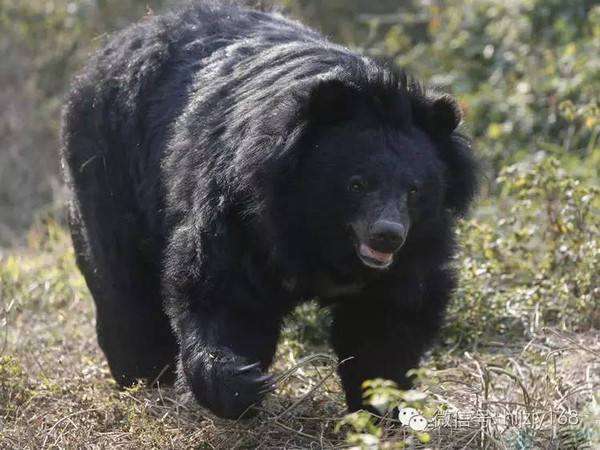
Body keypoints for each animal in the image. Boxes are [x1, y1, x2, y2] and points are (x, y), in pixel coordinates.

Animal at [62, 1, 478, 420]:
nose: (388, 235)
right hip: (109, 167)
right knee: (121, 278)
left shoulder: (417, 247)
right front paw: (243, 382)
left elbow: (387, 317)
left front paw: (377, 406)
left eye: (415, 191)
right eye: (357, 184)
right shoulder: (240, 212)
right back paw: (143, 374)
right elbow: (223, 292)